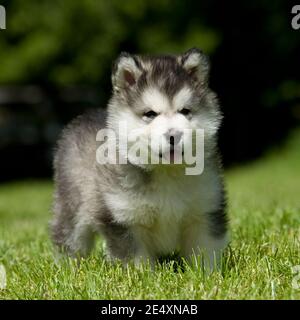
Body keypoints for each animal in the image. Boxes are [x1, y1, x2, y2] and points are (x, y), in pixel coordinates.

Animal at [51, 48, 229, 270]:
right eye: (150, 114)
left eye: (185, 111)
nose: (174, 135)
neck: (166, 172)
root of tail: (83, 116)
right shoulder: (124, 219)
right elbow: (135, 259)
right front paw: (143, 275)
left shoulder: (205, 210)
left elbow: (205, 250)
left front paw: (207, 274)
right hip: (72, 204)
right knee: (68, 237)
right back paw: (67, 267)